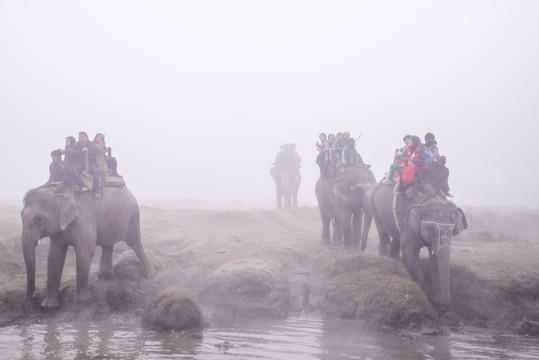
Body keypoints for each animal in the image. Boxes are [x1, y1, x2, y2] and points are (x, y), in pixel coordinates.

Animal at [20, 184, 156, 308]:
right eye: (21, 216)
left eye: (39, 218)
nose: (28, 302)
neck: (59, 192)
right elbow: (54, 256)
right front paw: (48, 306)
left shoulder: (83, 219)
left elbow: (84, 251)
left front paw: (81, 301)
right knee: (107, 245)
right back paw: (104, 278)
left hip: (133, 217)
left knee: (134, 243)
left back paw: (150, 275)